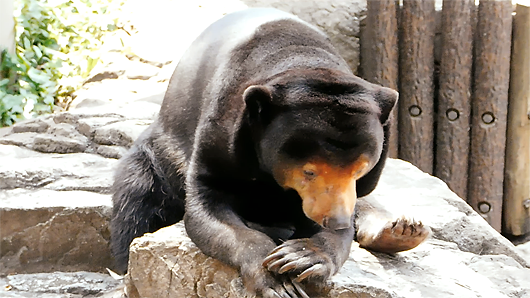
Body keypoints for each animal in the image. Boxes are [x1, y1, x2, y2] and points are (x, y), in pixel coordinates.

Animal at [111, 7, 428, 298]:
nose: (335, 220)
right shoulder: (222, 133)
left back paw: (402, 230)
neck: (302, 58)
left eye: (360, 169)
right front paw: (277, 281)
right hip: (158, 157)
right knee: (137, 201)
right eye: (309, 171)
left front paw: (302, 255)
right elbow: (209, 204)